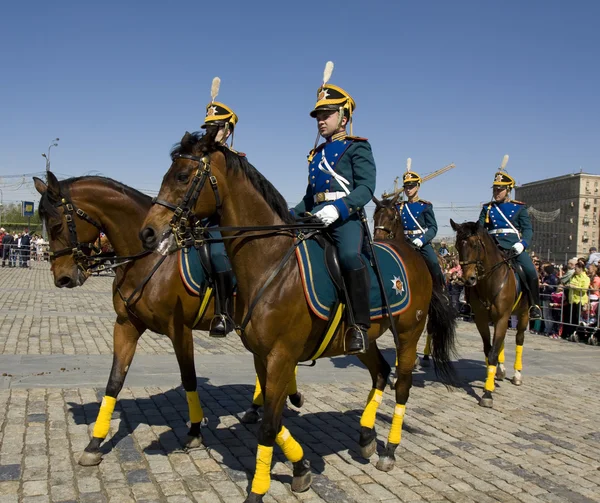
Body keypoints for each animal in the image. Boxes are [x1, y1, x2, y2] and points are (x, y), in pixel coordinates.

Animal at [32, 172, 300, 468]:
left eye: (56, 225)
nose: (62, 278)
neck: (150, 259)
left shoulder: (179, 330)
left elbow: (189, 378)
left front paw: (194, 431)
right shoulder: (126, 325)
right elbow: (115, 381)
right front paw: (94, 443)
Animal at [137, 131, 454, 503]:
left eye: (183, 176)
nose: (147, 232)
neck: (271, 262)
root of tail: (414, 254)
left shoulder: (280, 355)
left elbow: (268, 427)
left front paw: (258, 490)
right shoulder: (262, 356)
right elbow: (273, 419)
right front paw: (301, 467)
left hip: (408, 333)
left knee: (402, 384)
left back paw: (389, 449)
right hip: (364, 340)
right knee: (380, 372)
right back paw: (365, 437)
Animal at [450, 221, 528, 410]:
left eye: (475, 245)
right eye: (457, 245)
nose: (468, 279)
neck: (490, 281)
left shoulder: (501, 318)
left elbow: (492, 353)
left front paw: (487, 393)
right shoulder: (482, 319)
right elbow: (489, 349)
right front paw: (490, 380)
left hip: (524, 314)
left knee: (519, 339)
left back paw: (517, 375)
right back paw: (500, 371)